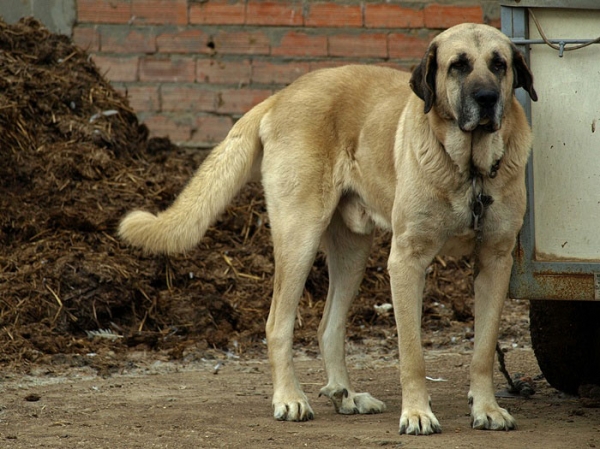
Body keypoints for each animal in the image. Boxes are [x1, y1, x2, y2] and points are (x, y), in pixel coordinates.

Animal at [119, 23, 536, 434]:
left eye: (499, 64)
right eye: (458, 65)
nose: (486, 98)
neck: (470, 170)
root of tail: (281, 95)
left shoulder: (495, 262)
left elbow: (483, 350)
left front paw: (487, 409)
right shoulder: (407, 262)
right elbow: (412, 354)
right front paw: (417, 413)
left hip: (353, 251)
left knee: (328, 327)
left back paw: (345, 395)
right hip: (299, 237)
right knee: (277, 324)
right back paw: (289, 398)